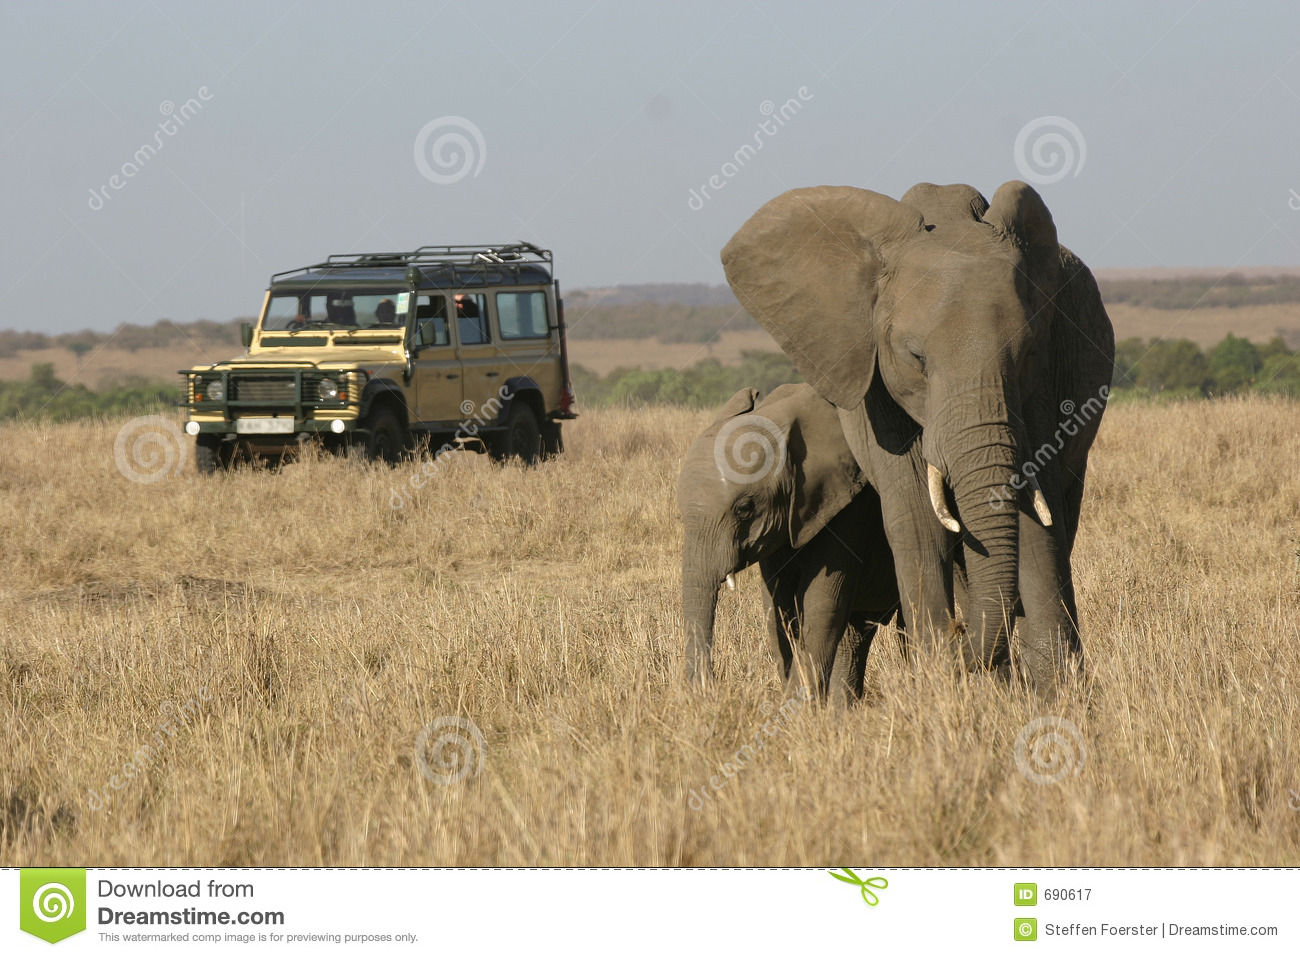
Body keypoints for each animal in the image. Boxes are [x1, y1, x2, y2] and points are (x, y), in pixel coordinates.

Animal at [676, 382, 899, 702]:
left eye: (744, 509)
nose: (710, 689)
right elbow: (778, 612)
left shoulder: (848, 507)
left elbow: (820, 607)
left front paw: (794, 709)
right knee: (856, 633)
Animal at [722, 180, 1107, 686]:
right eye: (916, 358)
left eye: (1025, 353)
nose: (960, 639)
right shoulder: (873, 388)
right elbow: (917, 518)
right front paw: (940, 675)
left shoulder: (1039, 384)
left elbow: (1038, 524)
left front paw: (1056, 689)